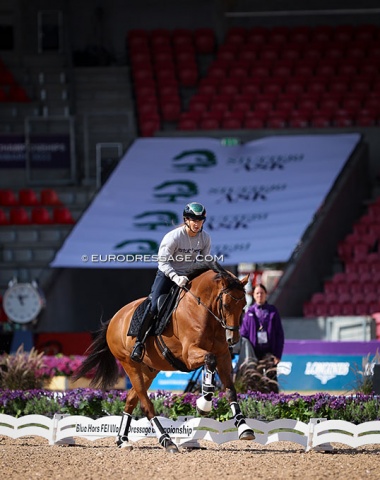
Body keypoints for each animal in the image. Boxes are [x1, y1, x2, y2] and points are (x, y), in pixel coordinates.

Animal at [73, 260, 255, 452]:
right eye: (226, 305)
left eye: (243, 305)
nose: (233, 339)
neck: (203, 310)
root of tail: (115, 318)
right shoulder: (189, 355)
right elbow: (210, 360)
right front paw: (203, 405)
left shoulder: (224, 356)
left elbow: (230, 390)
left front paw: (244, 428)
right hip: (130, 365)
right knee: (146, 405)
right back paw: (167, 441)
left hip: (149, 370)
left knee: (131, 400)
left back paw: (123, 441)